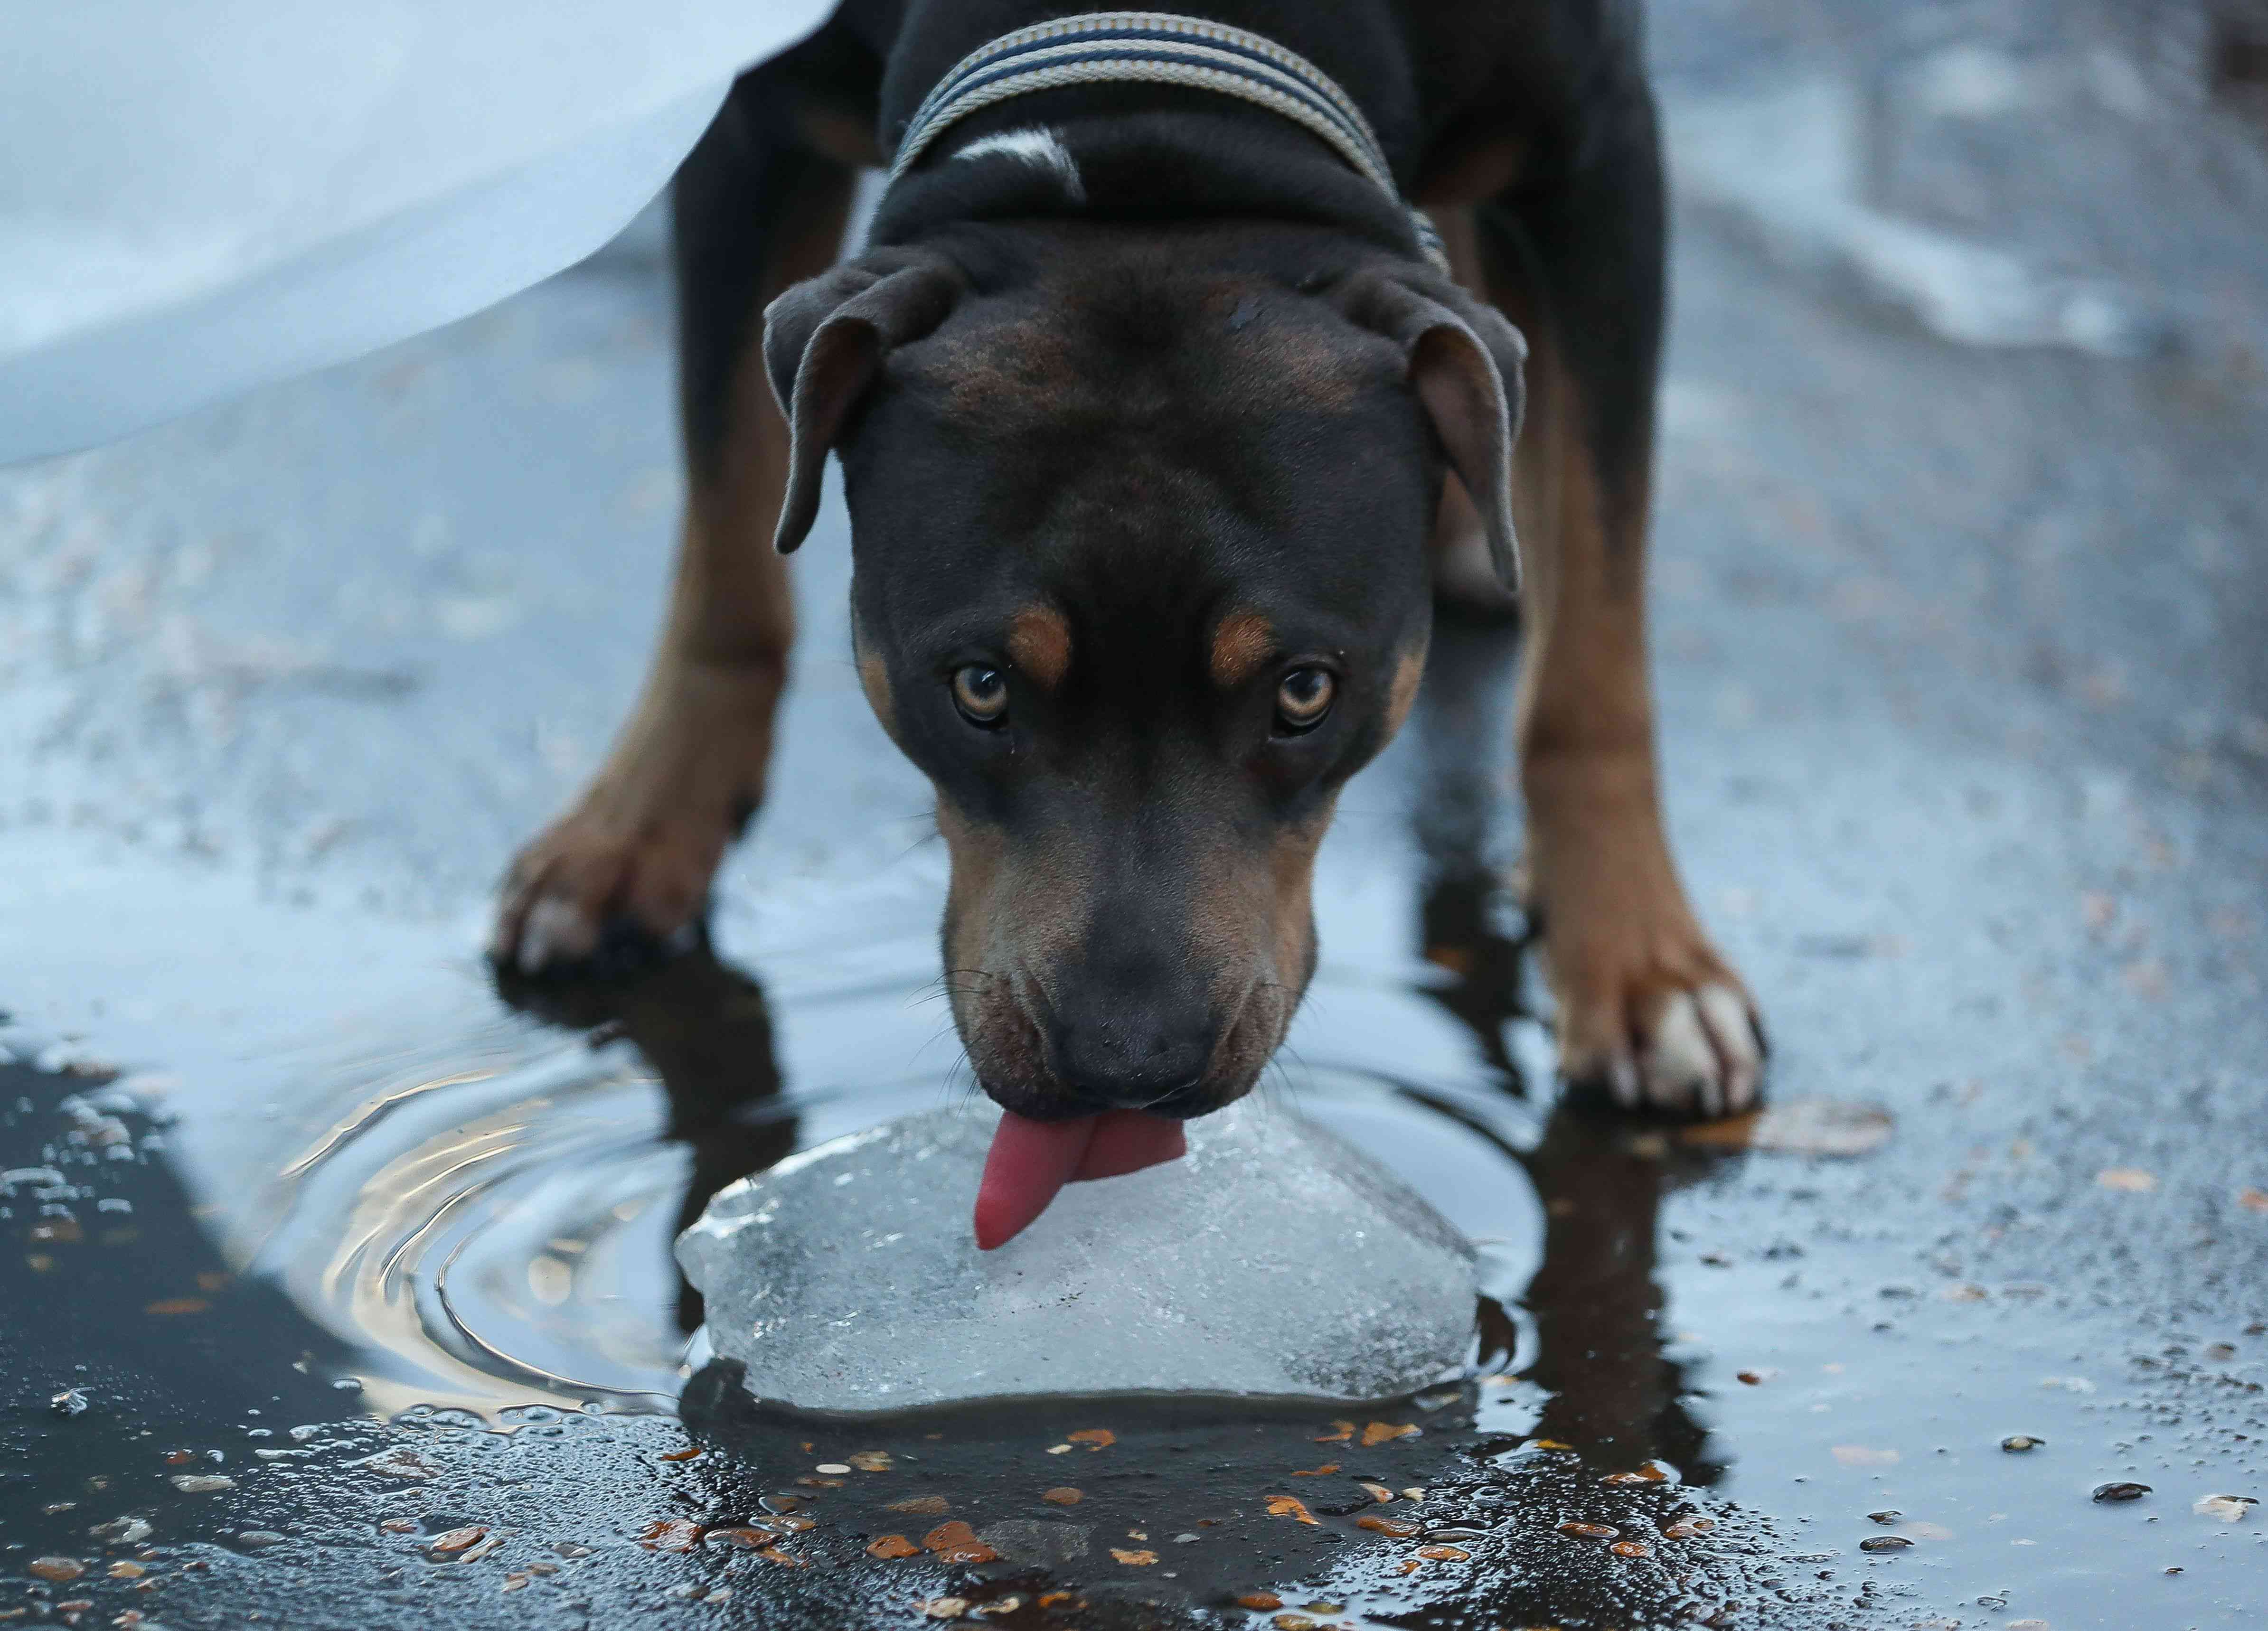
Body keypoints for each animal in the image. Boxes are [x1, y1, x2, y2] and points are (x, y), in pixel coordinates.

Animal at [497, 0, 1769, 1243]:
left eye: (1306, 690)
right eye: (979, 686)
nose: (1128, 1061)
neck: (1150, 125)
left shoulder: (1597, 157)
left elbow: (1593, 641)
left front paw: (1640, 970)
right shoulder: (745, 122)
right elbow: (725, 531)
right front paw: (636, 833)